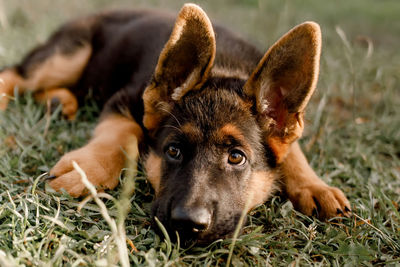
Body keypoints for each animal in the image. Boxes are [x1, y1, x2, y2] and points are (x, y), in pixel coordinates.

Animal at [0, 3, 350, 243]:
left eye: (236, 157)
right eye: (173, 151)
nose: (187, 223)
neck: (225, 68)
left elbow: (292, 152)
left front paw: (315, 186)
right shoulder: (124, 100)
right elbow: (124, 132)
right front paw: (88, 169)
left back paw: (60, 102)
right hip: (67, 56)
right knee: (15, 74)